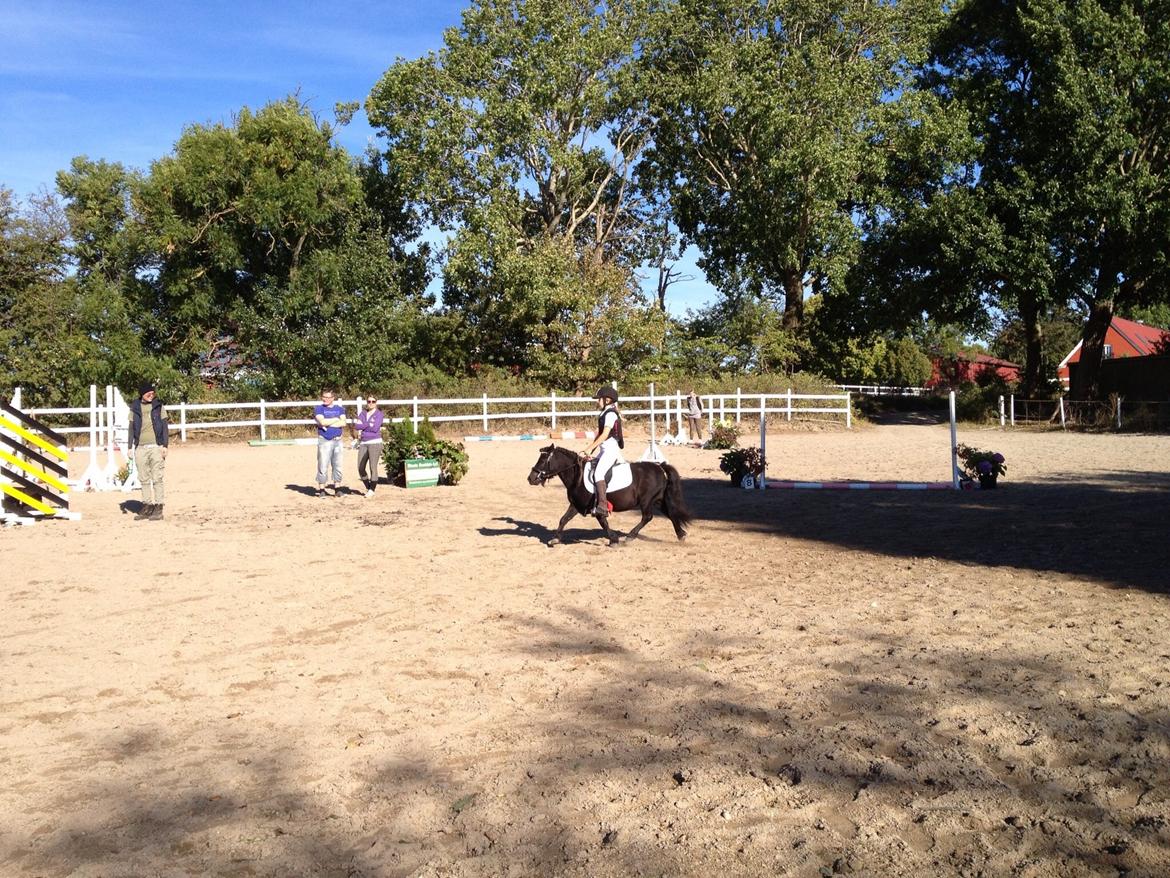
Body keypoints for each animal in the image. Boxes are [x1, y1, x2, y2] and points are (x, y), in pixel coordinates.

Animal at [526, 442, 687, 547]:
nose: (531, 478)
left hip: (646, 501)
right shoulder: (576, 505)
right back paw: (681, 535)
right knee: (671, 514)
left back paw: (630, 536)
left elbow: (603, 522)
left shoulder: (597, 507)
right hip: (658, 500)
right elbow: (563, 519)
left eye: (543, 460)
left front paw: (614, 540)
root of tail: (660, 467)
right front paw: (555, 539)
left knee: (647, 517)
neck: (577, 476)